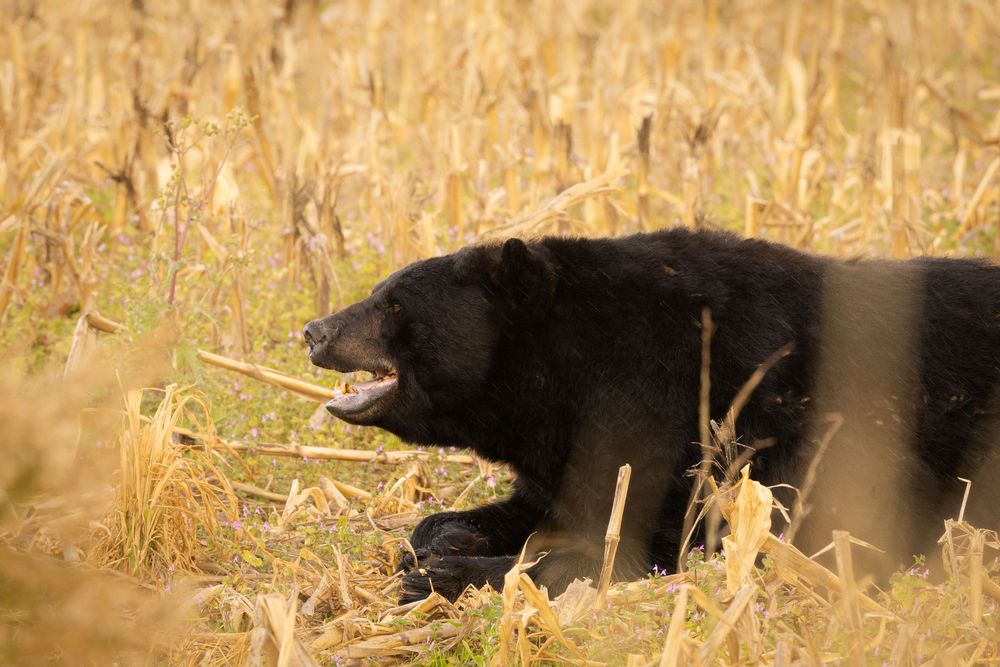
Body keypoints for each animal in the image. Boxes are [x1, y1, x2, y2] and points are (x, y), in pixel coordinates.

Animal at [303, 228, 1000, 603]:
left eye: (393, 304)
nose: (314, 330)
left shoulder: (717, 427)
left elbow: (655, 542)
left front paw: (447, 575)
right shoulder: (571, 445)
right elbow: (549, 502)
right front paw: (438, 538)